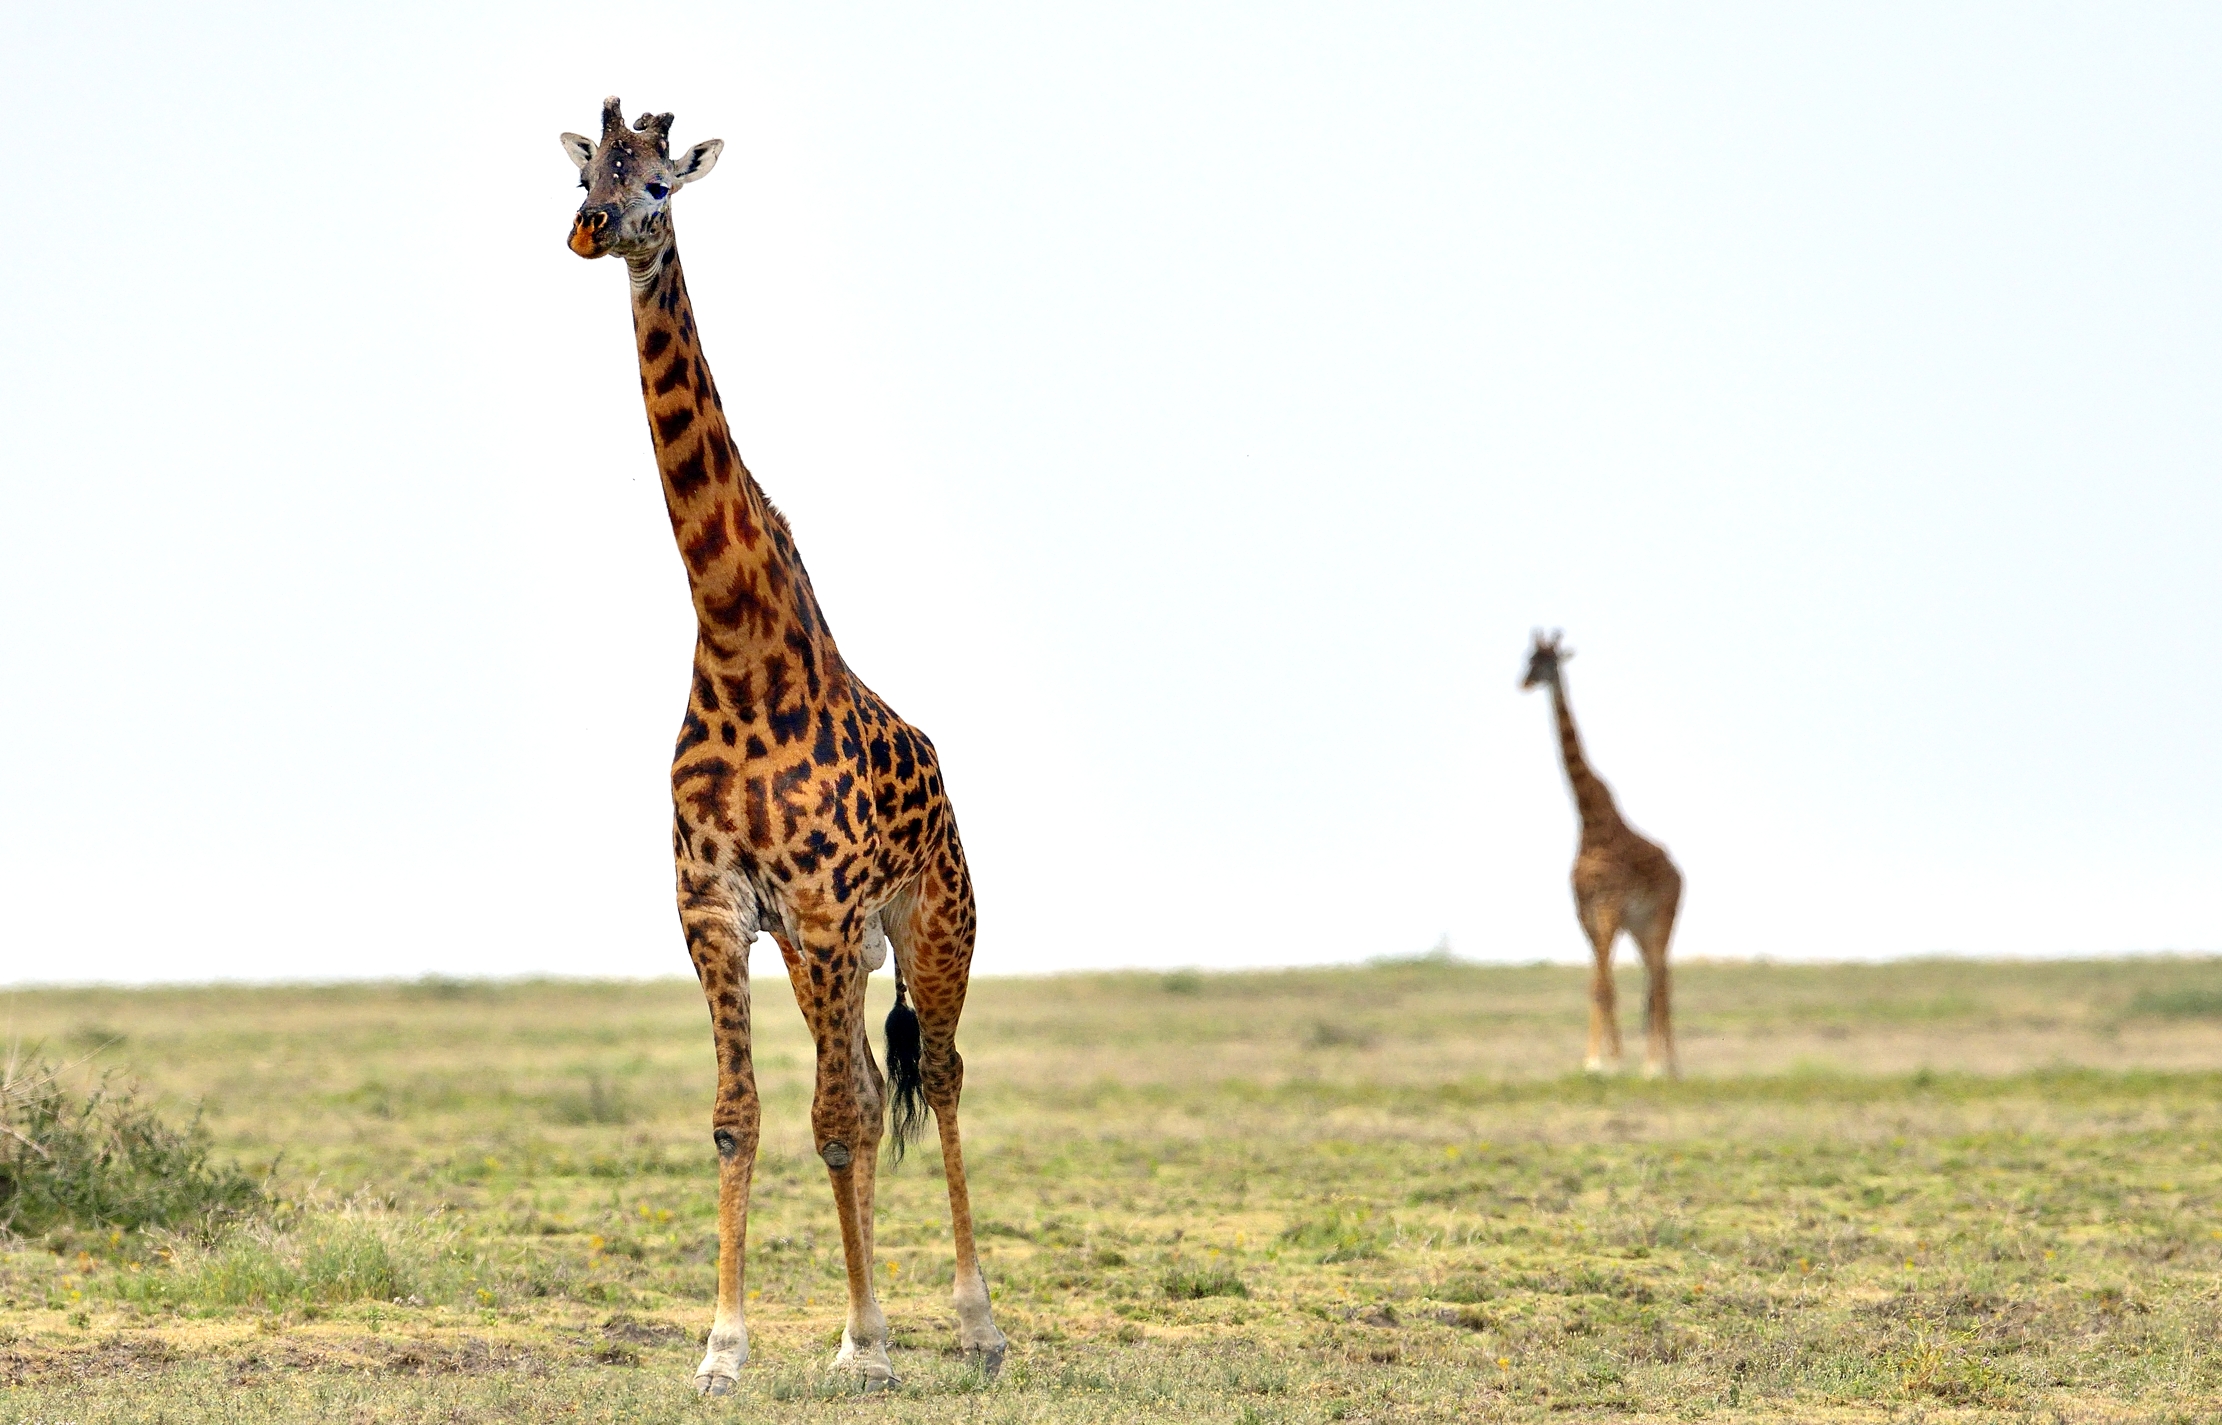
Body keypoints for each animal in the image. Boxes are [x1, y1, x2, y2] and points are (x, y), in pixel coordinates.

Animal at [561, 97, 1006, 1395]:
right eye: (588, 173)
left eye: (661, 181)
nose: (590, 228)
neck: (732, 635)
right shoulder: (713, 909)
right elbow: (742, 1118)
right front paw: (727, 1347)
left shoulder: (815, 911)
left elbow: (839, 1120)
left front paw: (866, 1343)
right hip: (841, 953)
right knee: (858, 1077)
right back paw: (874, 1324)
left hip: (932, 922)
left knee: (936, 1075)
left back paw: (971, 1324)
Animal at [1519, 631, 1683, 1078]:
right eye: (1528, 658)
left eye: (1548, 662)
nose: (1524, 683)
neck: (1591, 823)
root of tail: (1679, 872)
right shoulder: (1585, 912)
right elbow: (1598, 983)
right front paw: (1602, 1059)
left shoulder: (1608, 906)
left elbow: (1604, 983)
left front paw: (1602, 1062)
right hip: (1640, 924)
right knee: (1658, 976)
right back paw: (1666, 1063)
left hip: (1661, 915)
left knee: (1659, 978)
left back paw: (1660, 1066)